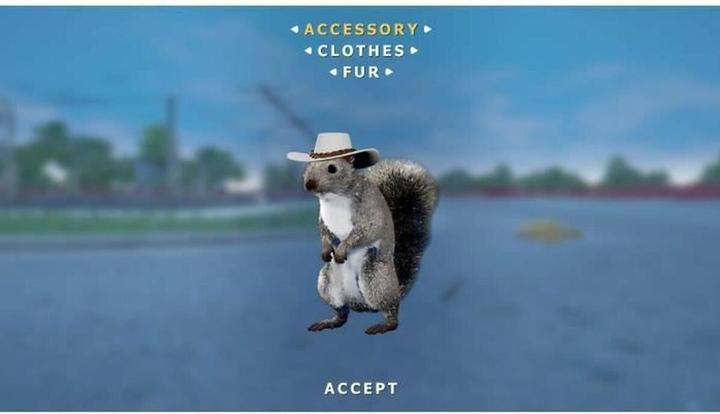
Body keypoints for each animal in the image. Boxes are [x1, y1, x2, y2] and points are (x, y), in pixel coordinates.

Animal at [298, 151, 438, 335]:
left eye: (332, 168)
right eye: (308, 165)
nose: (309, 184)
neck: (333, 199)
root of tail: (360, 305)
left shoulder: (368, 209)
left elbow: (367, 229)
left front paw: (342, 249)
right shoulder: (323, 218)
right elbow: (324, 231)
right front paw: (326, 249)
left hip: (375, 278)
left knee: (391, 311)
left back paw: (384, 324)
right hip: (327, 283)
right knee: (342, 312)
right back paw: (330, 321)